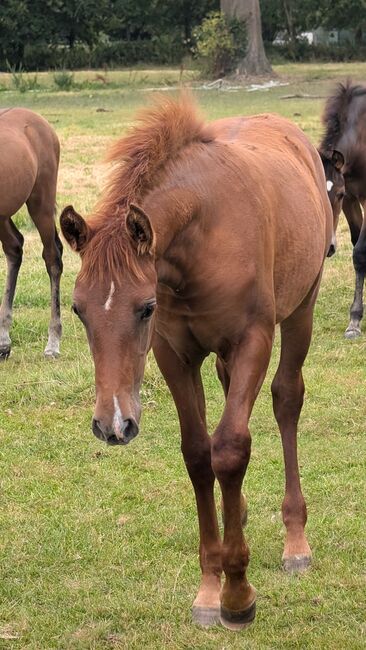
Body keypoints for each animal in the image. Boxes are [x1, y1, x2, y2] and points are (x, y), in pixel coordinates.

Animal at [61, 95, 334, 628]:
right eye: (79, 309)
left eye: (145, 307)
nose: (112, 424)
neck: (205, 233)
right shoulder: (175, 354)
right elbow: (197, 454)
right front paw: (210, 589)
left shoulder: (252, 341)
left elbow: (228, 448)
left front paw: (238, 596)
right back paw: (240, 513)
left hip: (301, 311)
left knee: (286, 400)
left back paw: (296, 542)